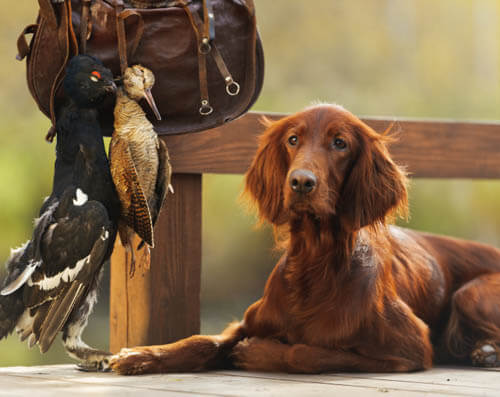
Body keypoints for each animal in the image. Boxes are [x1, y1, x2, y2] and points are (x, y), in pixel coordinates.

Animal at [109, 103, 500, 372]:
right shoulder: (247, 321)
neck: (316, 261)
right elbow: (203, 341)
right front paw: (142, 355)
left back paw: (487, 352)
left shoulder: (409, 348)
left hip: (470, 293)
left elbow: (305, 352)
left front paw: (257, 352)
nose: (300, 182)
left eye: (340, 143)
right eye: (292, 139)